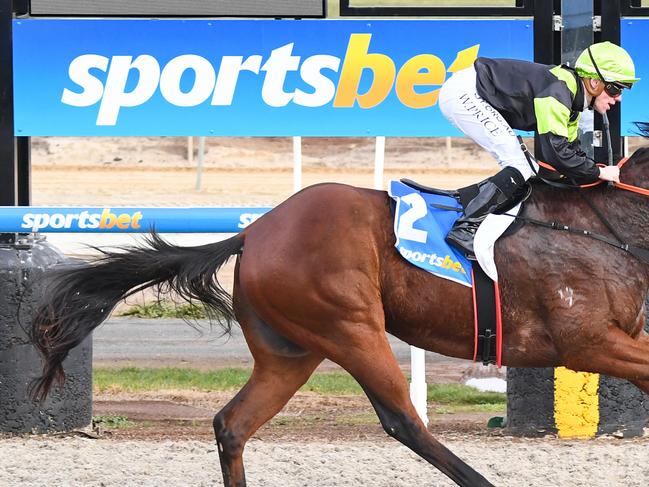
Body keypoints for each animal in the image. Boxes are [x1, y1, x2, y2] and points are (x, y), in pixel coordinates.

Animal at [33, 125, 648, 487]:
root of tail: (255, 231)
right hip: (351, 328)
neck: (603, 225)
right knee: (403, 420)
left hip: (290, 352)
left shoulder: (613, 339)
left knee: (232, 424)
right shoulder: (586, 341)